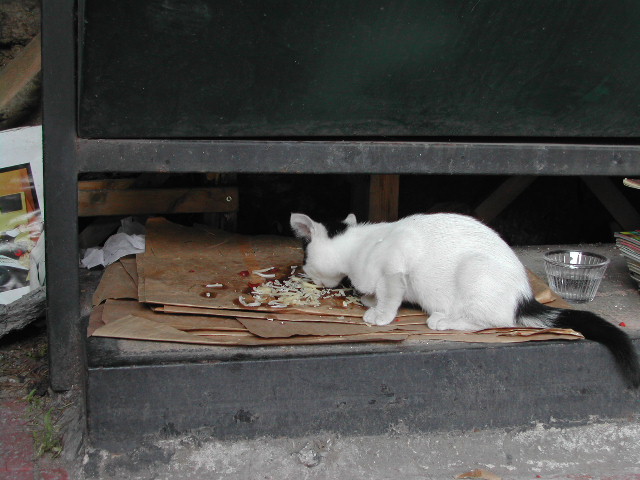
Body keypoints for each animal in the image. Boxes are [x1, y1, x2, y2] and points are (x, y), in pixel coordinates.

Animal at [292, 212, 640, 388]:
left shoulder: (395, 266)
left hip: (474, 271)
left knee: (487, 322)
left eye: (305, 257)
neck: (360, 246)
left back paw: (443, 319)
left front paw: (380, 313)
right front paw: (368, 298)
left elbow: (391, 295)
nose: (306, 271)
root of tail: (524, 297)